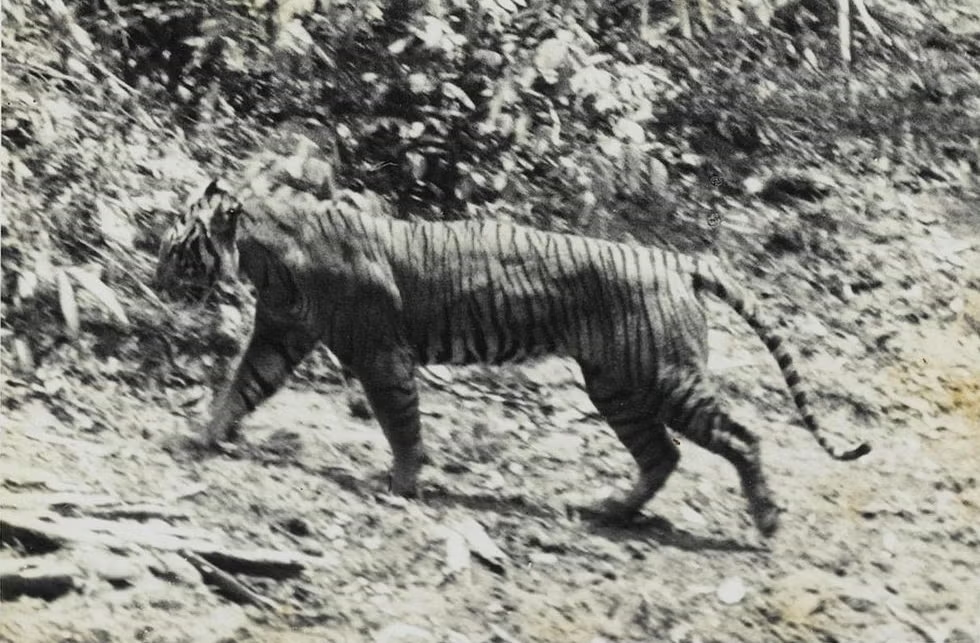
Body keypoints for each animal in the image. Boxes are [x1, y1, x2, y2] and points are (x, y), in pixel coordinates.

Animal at [156, 178, 870, 537]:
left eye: (175, 246)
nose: (156, 277)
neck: (264, 256)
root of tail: (674, 258)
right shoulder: (279, 336)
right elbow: (241, 387)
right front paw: (204, 436)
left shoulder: (380, 354)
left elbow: (399, 422)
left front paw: (403, 484)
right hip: (616, 386)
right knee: (661, 454)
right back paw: (611, 511)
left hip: (666, 378)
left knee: (741, 436)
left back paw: (767, 520)